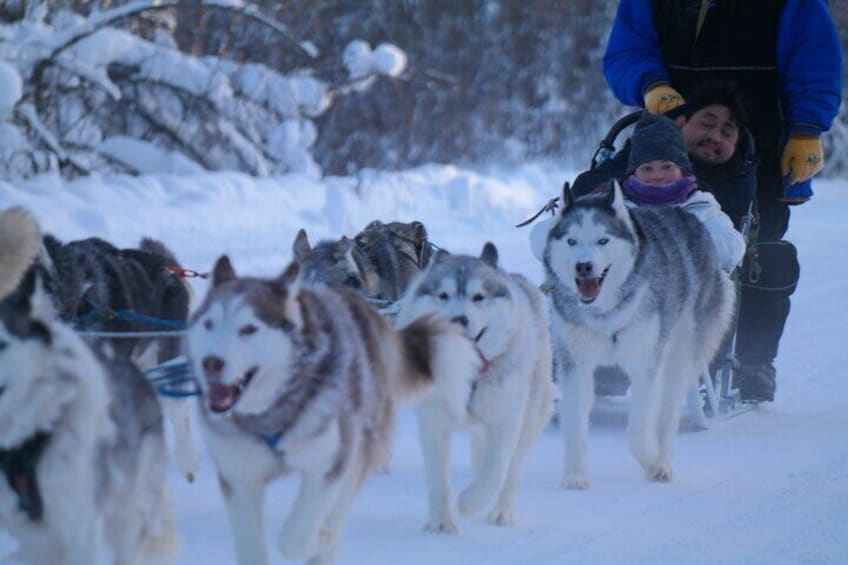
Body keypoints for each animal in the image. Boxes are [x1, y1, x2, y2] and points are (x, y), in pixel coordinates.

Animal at [185, 256, 480, 564]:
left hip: (358, 450)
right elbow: (251, 546)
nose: (211, 363)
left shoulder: (329, 465)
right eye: (209, 324)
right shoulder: (240, 478)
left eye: (249, 329)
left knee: (338, 508)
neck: (270, 413)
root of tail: (361, 306)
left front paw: (322, 538)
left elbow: (295, 538)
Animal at [398, 243, 556, 532]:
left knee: (512, 471)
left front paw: (469, 503)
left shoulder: (505, 423)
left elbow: (495, 473)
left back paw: (501, 511)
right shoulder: (433, 424)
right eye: (443, 295)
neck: (469, 371)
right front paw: (440, 521)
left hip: (529, 417)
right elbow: (438, 478)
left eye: (479, 297)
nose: (459, 319)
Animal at [544, 183, 736, 486]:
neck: (605, 313)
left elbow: (637, 432)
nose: (583, 266)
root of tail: (687, 217)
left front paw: (654, 465)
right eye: (572, 242)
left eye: (603, 240)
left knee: (668, 411)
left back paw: (664, 458)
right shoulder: (576, 365)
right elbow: (575, 426)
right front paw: (575, 476)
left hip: (681, 354)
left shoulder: (644, 364)